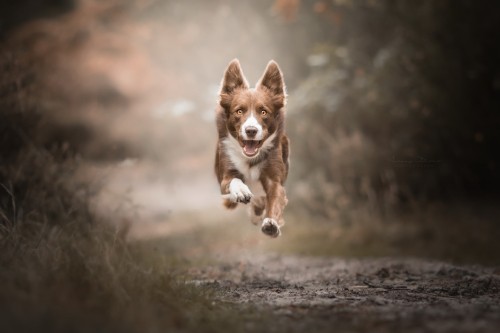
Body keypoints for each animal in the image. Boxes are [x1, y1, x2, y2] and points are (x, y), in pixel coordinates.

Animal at [214, 59, 290, 236]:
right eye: (239, 111)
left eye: (263, 112)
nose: (251, 130)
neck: (249, 158)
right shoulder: (225, 176)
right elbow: (233, 180)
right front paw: (241, 191)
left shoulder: (274, 179)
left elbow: (275, 198)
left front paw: (271, 222)